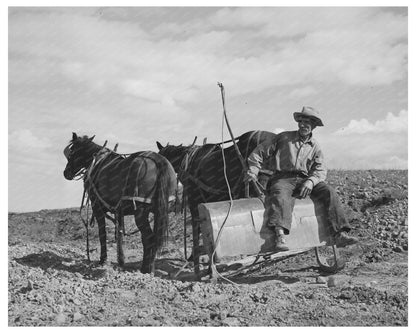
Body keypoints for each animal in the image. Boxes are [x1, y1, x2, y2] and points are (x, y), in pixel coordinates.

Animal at [63, 132, 177, 272]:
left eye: (72, 151)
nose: (66, 172)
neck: (96, 162)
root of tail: (159, 161)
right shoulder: (119, 210)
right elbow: (120, 233)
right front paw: (120, 261)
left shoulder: (97, 207)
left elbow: (102, 233)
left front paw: (103, 260)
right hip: (160, 211)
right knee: (154, 238)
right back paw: (150, 268)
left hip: (140, 213)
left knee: (148, 238)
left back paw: (145, 269)